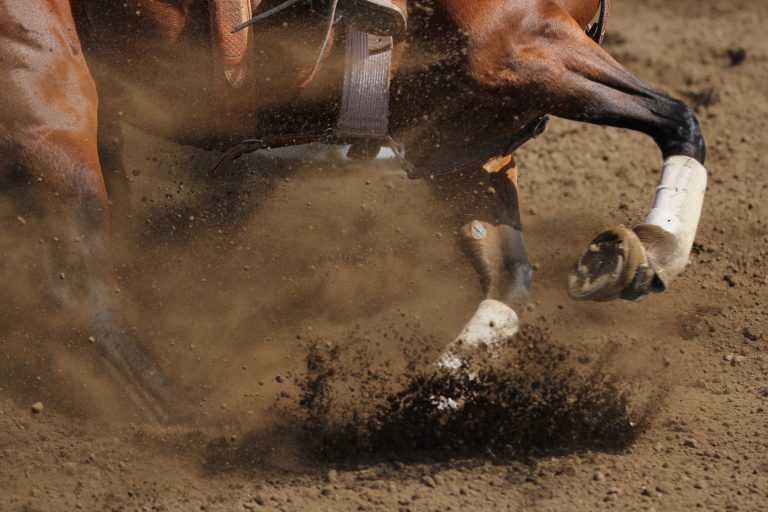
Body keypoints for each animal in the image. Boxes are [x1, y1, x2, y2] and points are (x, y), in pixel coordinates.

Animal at [0, 0, 707, 421]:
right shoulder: (518, 46)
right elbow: (679, 117)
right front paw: (653, 248)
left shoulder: (464, 133)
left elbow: (512, 276)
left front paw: (428, 404)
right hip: (46, 90)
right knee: (76, 290)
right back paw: (191, 423)